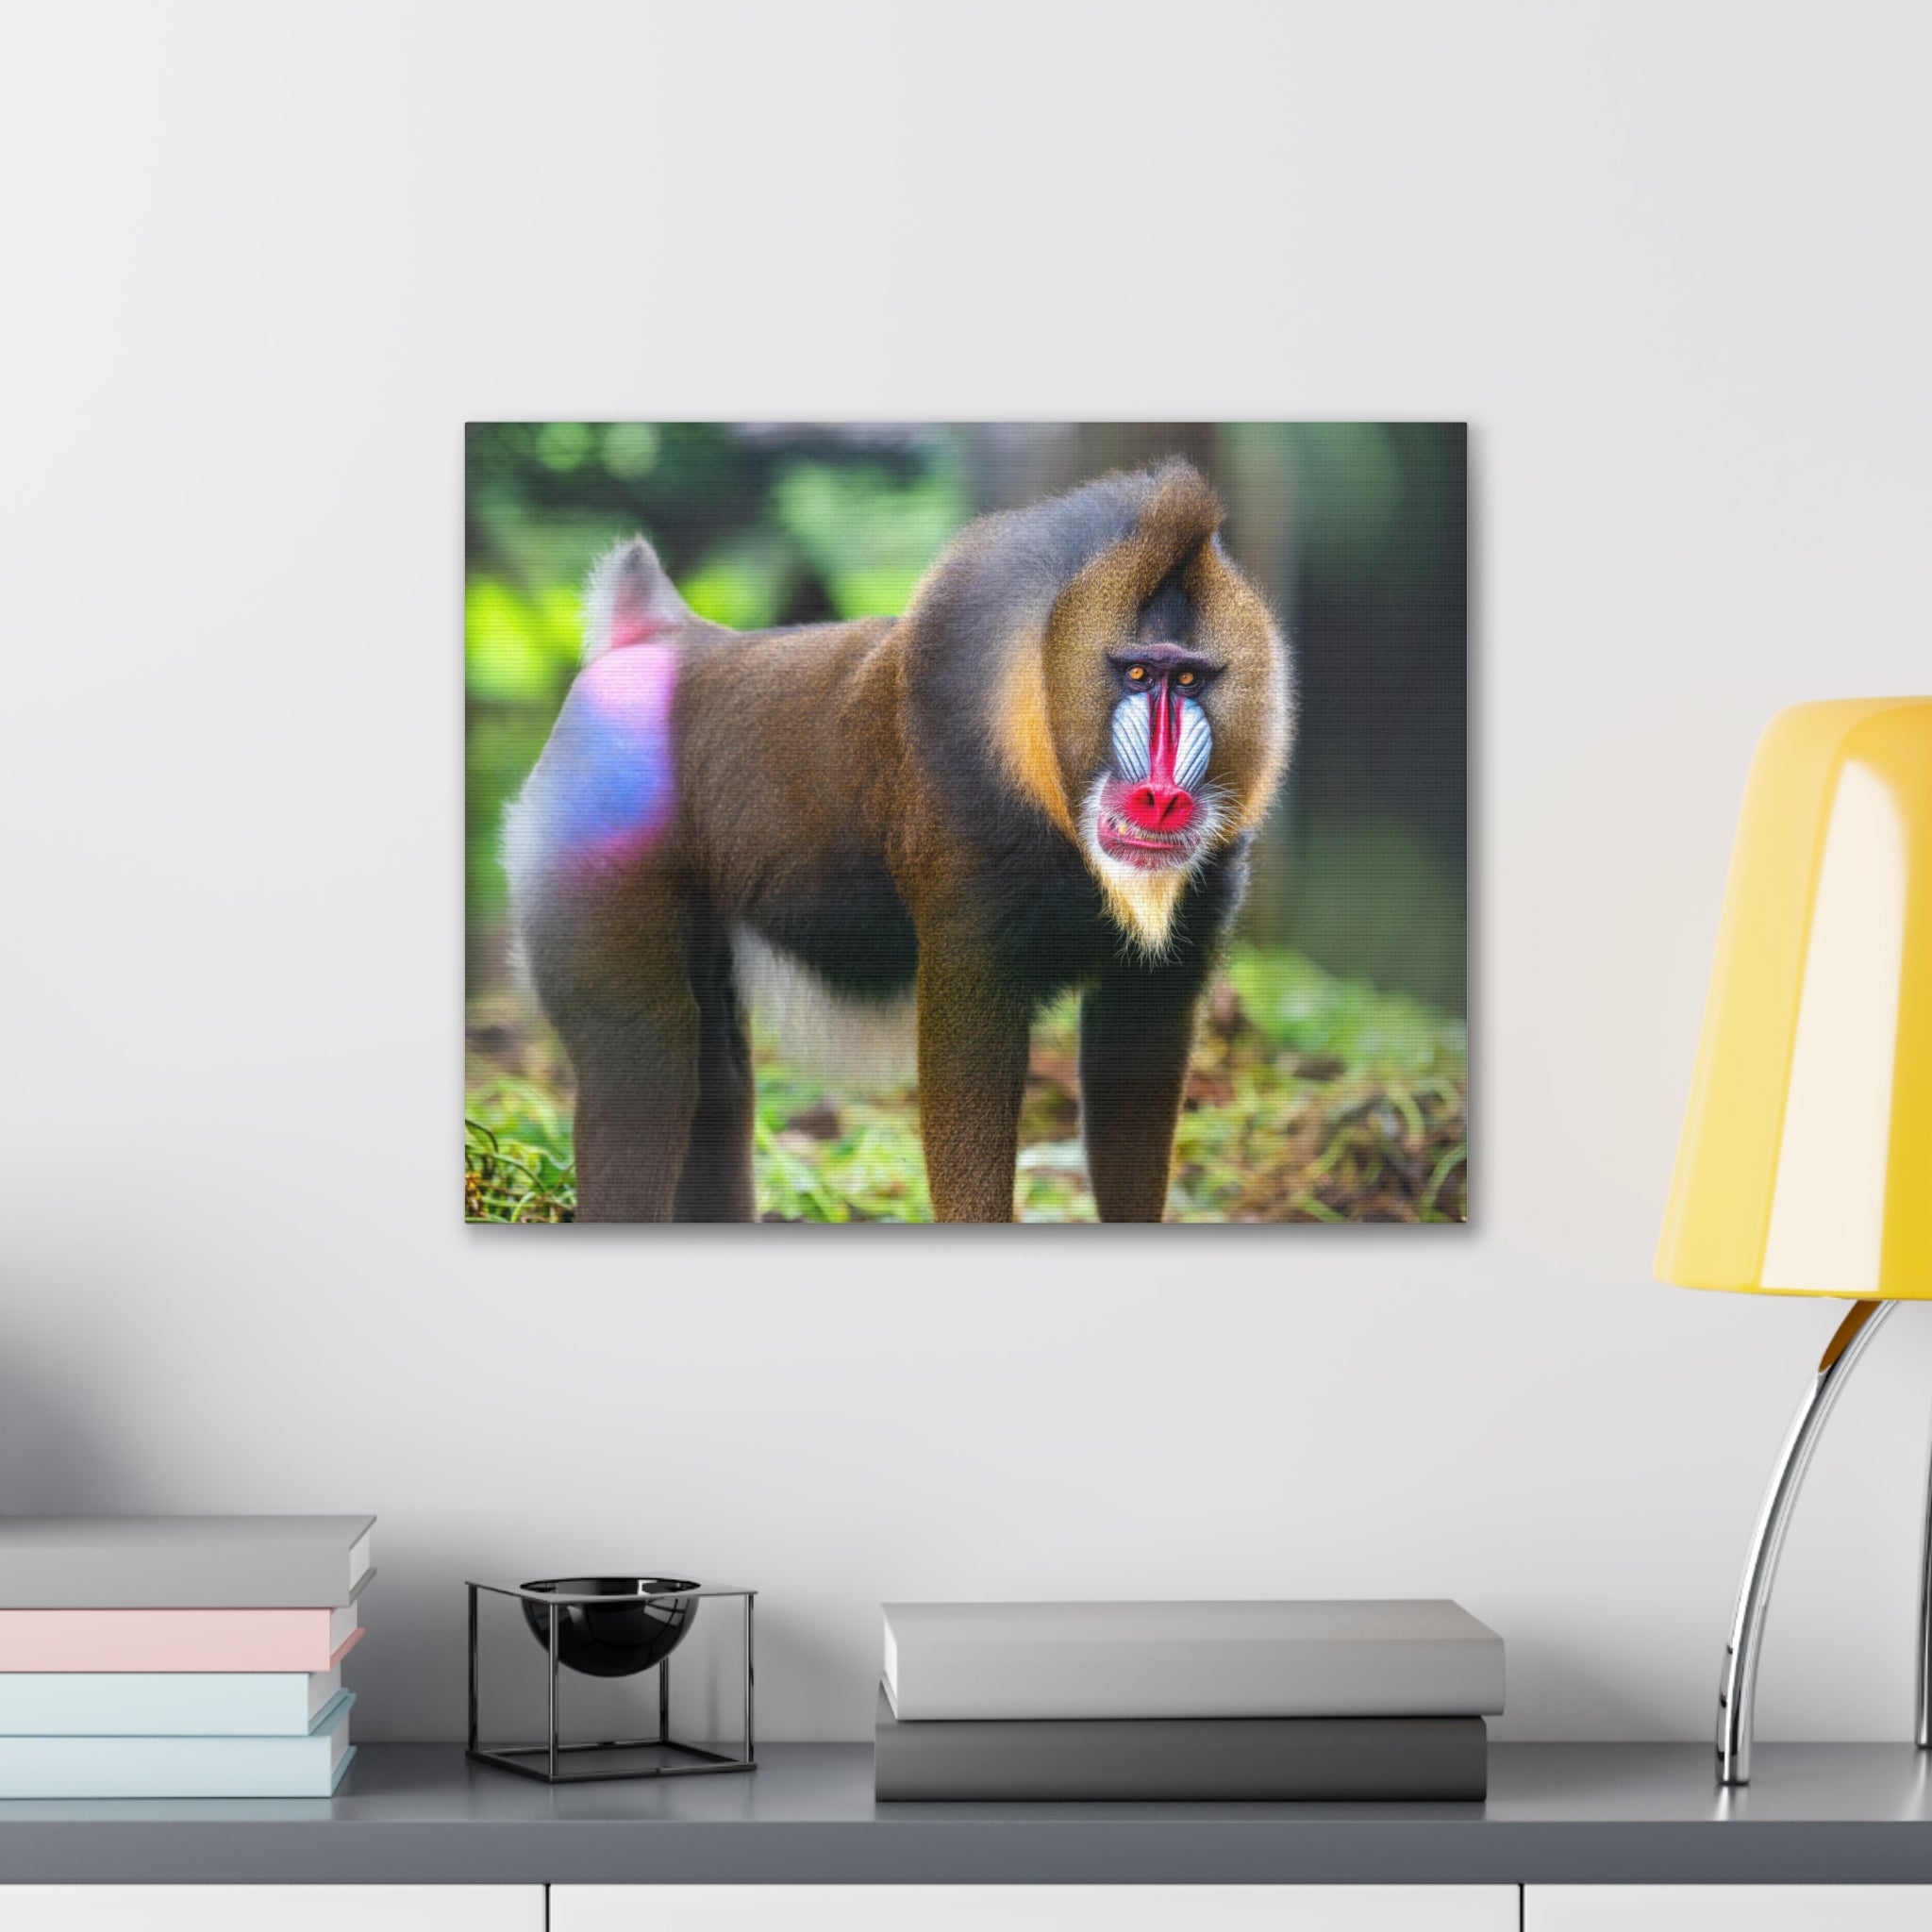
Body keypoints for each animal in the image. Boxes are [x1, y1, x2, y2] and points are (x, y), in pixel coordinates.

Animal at [501, 459, 1291, 1223]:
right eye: (1135, 672)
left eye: (1187, 679)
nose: (1161, 796)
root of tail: (654, 641)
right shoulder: (970, 924)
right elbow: (964, 1071)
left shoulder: (1174, 954)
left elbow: (1134, 1070)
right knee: (647, 1061)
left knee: (715, 1072)